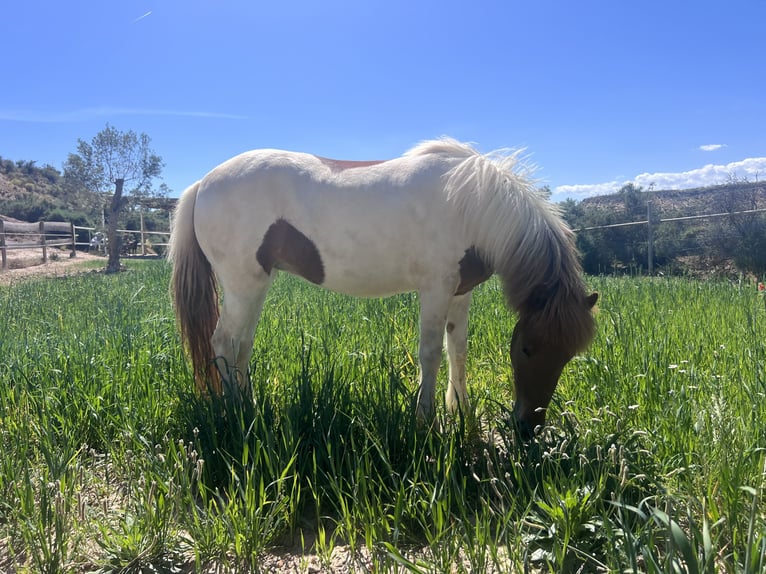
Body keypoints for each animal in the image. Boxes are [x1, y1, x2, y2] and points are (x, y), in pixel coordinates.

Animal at [169, 138, 597, 436]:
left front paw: (460, 410)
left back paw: (250, 406)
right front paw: (425, 420)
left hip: (256, 285)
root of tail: (202, 183)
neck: (473, 204)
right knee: (224, 342)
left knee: (241, 345)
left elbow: (457, 350)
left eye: (567, 356)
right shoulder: (436, 289)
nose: (528, 429)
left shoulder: (461, 292)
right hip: (242, 284)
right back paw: (235, 415)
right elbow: (430, 354)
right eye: (526, 349)